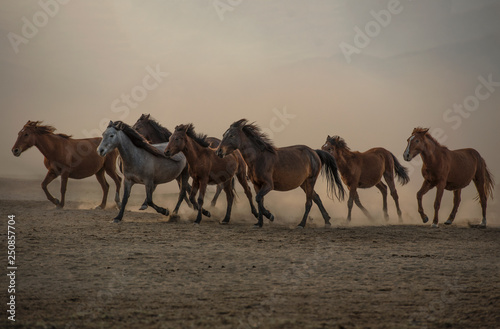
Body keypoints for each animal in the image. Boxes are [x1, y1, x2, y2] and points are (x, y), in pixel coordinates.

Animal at [215, 118, 344, 228]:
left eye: (232, 135)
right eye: (224, 134)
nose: (218, 151)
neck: (259, 158)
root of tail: (314, 152)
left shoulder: (268, 185)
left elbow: (258, 199)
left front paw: (270, 216)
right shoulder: (257, 185)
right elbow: (259, 201)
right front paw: (259, 223)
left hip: (310, 181)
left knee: (309, 202)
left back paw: (301, 224)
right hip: (304, 184)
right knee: (316, 198)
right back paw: (327, 221)